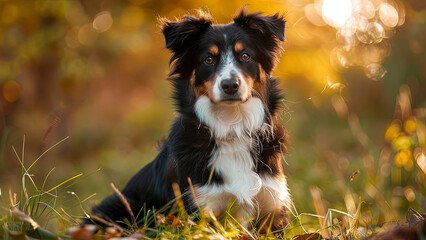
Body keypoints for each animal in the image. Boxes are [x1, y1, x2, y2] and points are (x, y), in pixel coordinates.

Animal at [88, 8, 292, 232]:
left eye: (245, 56)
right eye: (208, 59)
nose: (230, 85)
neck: (232, 127)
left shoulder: (272, 206)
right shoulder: (199, 208)